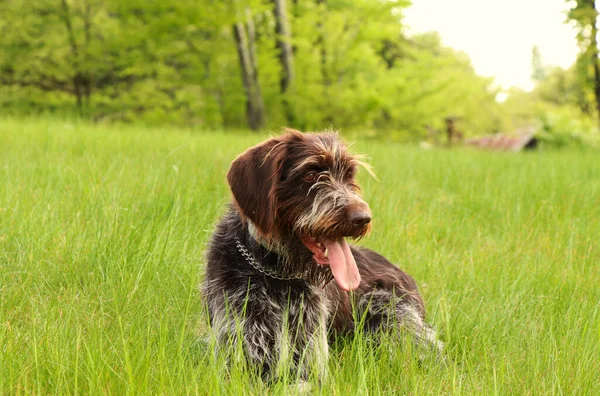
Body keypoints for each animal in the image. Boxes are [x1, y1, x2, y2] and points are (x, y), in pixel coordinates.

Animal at [202, 129, 440, 380]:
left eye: (349, 175)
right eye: (310, 175)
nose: (363, 218)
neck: (276, 272)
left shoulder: (310, 356)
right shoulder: (241, 349)